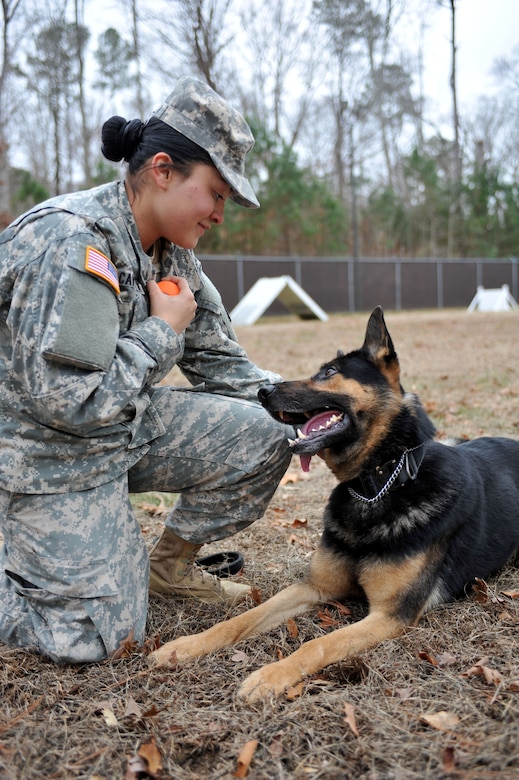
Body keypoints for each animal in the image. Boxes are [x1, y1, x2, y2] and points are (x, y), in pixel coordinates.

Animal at [149, 308, 519, 704]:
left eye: (329, 372)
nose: (263, 391)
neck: (379, 484)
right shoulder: (313, 587)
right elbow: (240, 619)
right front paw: (185, 646)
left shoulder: (390, 616)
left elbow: (319, 644)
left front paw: (270, 675)